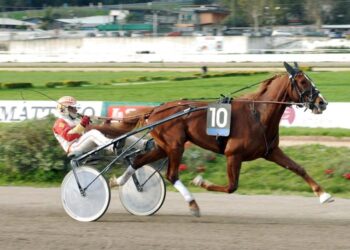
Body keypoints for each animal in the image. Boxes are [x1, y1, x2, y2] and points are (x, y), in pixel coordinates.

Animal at [93, 61, 334, 216]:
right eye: (302, 82)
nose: (322, 102)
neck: (259, 114)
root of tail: (156, 109)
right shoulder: (232, 154)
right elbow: (231, 187)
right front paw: (202, 181)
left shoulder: (271, 151)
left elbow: (298, 168)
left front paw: (324, 195)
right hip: (175, 145)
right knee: (171, 174)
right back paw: (193, 204)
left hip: (163, 146)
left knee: (137, 161)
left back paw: (118, 181)